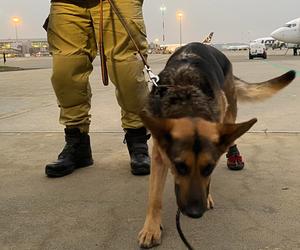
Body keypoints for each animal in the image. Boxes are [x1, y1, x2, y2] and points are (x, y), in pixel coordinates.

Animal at [138, 42, 296, 247]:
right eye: (179, 167)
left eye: (208, 168)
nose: (195, 212)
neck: (186, 96)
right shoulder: (158, 156)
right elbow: (154, 198)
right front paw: (151, 229)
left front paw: (208, 196)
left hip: (229, 112)